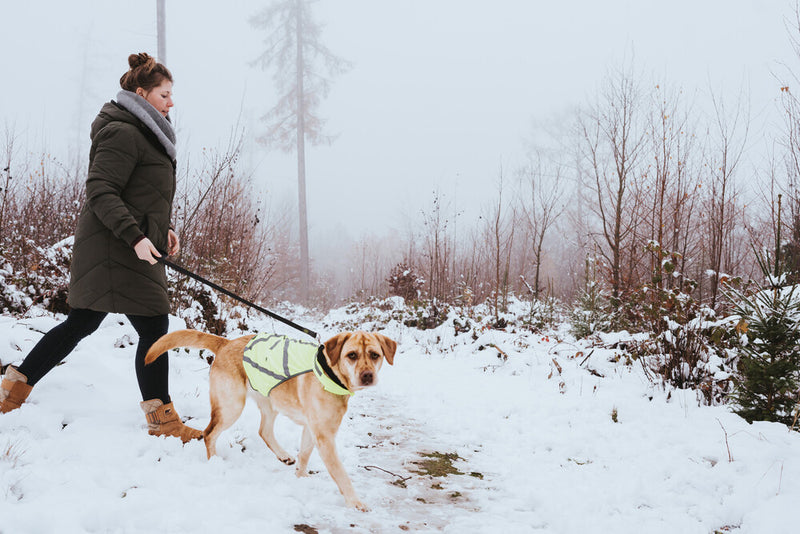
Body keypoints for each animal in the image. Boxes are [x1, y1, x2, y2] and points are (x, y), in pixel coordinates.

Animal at [145, 328, 400, 512]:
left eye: (375, 355)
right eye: (352, 355)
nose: (367, 376)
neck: (331, 373)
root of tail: (226, 343)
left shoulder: (312, 429)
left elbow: (304, 455)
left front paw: (300, 477)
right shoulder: (325, 437)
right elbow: (341, 474)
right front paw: (355, 502)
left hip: (269, 402)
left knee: (263, 431)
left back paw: (283, 455)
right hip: (231, 406)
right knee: (209, 433)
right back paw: (214, 462)